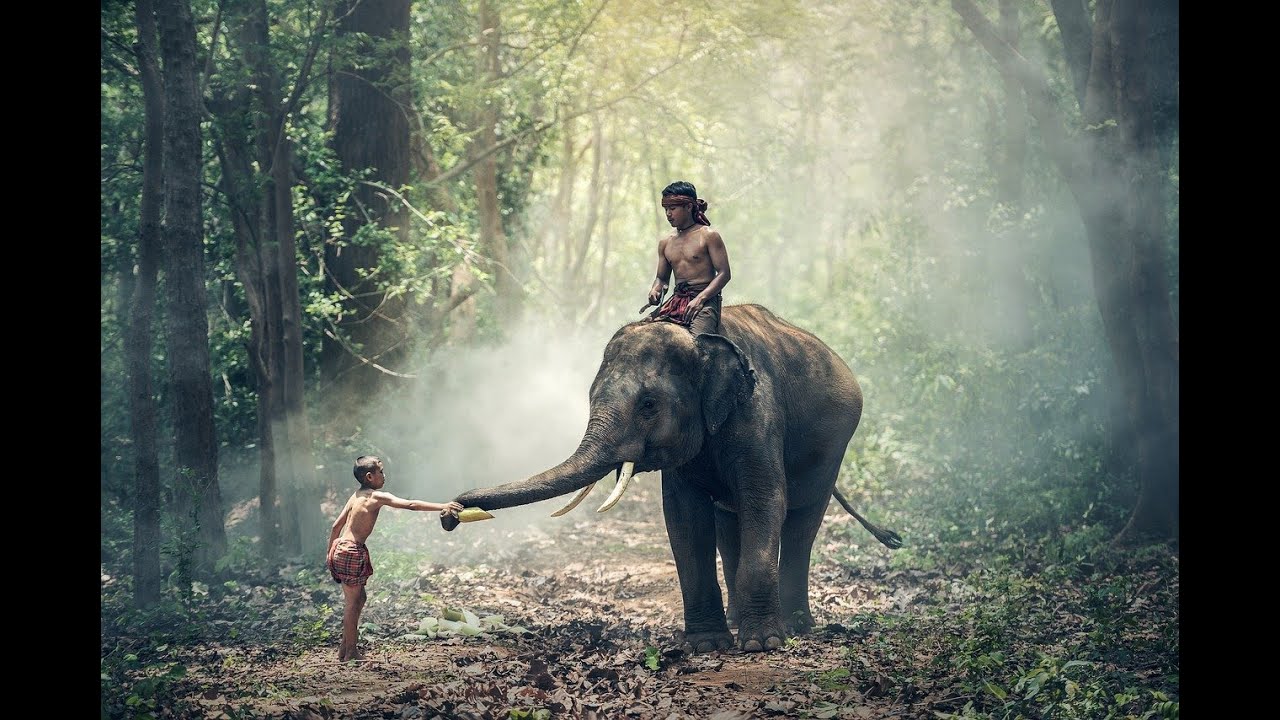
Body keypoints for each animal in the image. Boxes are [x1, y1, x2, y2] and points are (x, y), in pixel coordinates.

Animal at [441, 303, 900, 653]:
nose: (450, 514)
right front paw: (707, 645)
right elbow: (684, 517)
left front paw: (762, 645)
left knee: (802, 522)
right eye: (590, 397)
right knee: (729, 523)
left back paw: (796, 626)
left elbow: (765, 500)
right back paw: (739, 620)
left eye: (648, 404)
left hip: (834, 449)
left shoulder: (758, 414)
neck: (700, 341)